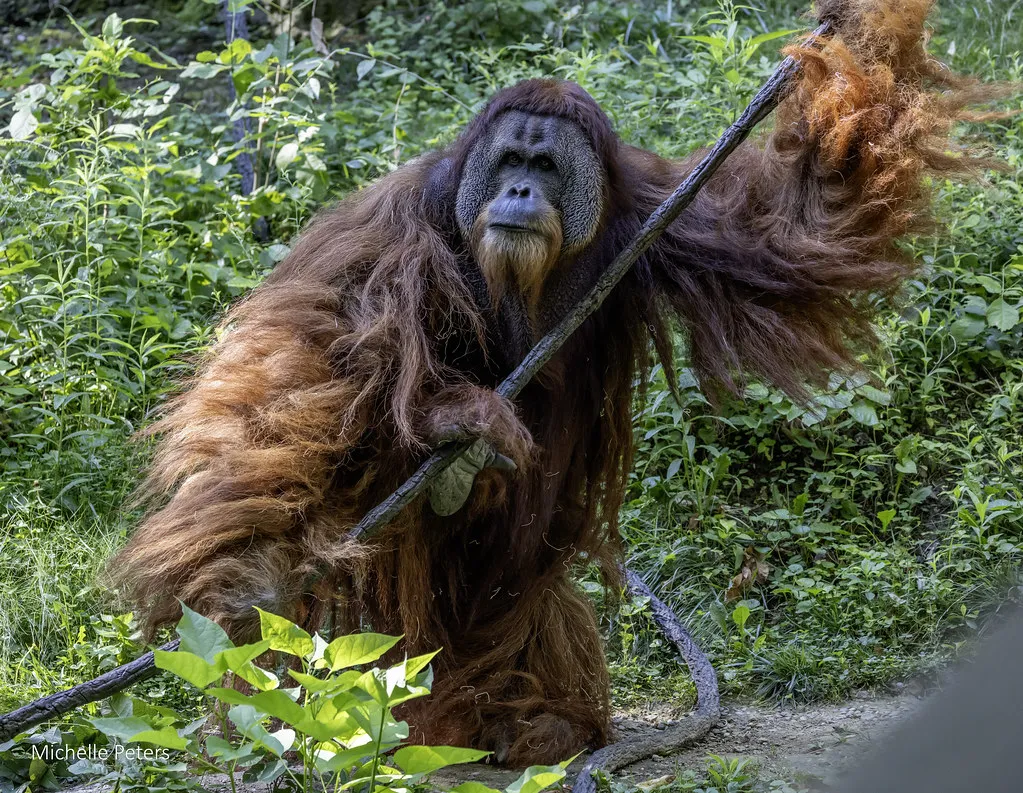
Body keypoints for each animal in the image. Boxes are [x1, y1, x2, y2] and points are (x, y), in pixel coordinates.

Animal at [109, 0, 1003, 768]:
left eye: (544, 164)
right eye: (510, 160)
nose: (518, 189)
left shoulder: (656, 212)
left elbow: (802, 224)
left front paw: (859, 22)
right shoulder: (399, 218)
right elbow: (311, 351)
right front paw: (249, 583)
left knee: (523, 594)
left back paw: (535, 721)